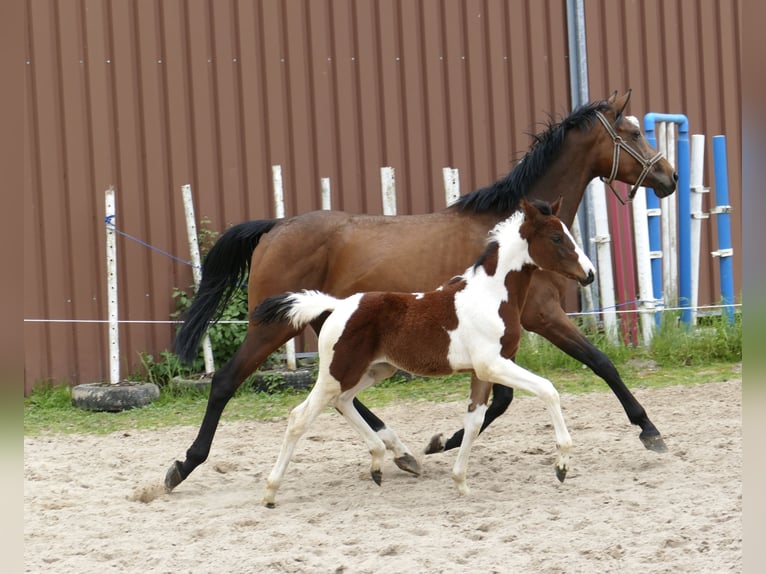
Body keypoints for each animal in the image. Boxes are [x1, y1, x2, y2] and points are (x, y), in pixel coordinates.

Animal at [255, 199, 596, 508]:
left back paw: (378, 462)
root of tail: (336, 306)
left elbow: (474, 420)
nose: (589, 273)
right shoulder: (493, 364)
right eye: (556, 237)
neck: (492, 296)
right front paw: (562, 465)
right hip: (338, 372)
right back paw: (271, 492)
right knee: (301, 416)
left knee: (343, 401)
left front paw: (461, 483)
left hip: (375, 369)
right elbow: (548, 390)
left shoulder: (481, 372)